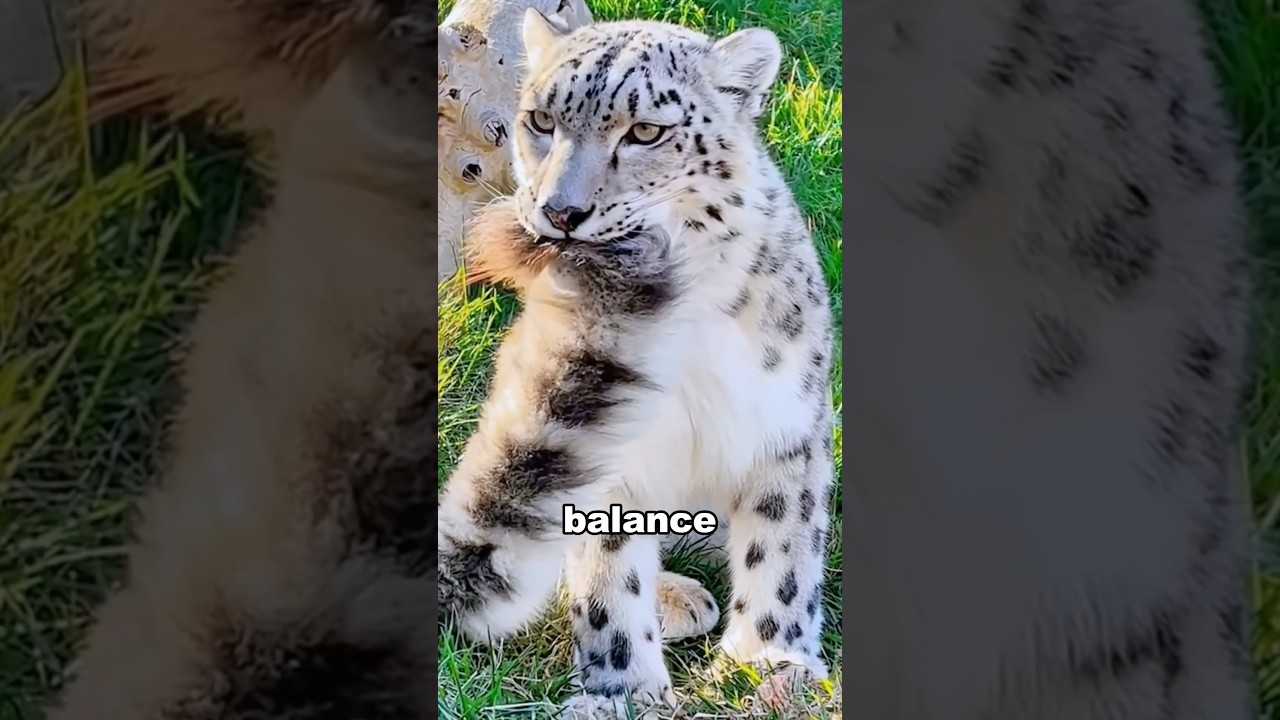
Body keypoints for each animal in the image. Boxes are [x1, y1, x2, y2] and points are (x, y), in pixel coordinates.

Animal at [437, 11, 838, 718]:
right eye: (541, 120)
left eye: (647, 130)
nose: (561, 211)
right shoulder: (607, 458)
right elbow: (608, 574)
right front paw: (624, 689)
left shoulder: (787, 426)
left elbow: (782, 550)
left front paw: (770, 663)